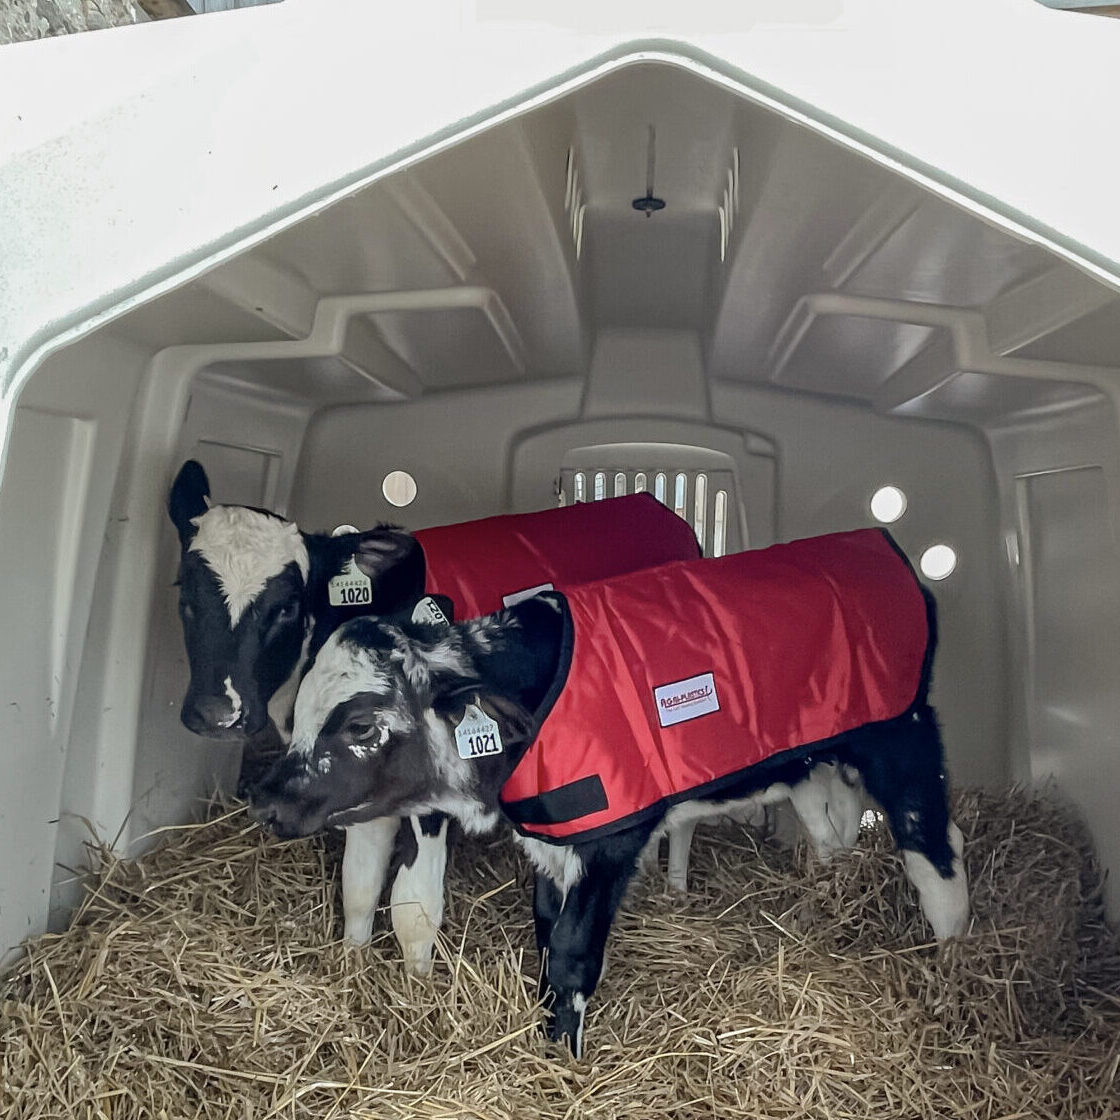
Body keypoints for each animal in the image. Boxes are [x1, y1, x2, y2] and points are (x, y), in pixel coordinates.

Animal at [249, 528, 969, 1056]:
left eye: (361, 725)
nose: (266, 798)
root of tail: (874, 543)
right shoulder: (553, 836)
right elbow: (545, 931)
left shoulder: (610, 838)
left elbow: (572, 951)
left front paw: (562, 1059)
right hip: (819, 753)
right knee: (833, 826)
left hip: (900, 734)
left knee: (936, 847)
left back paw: (949, 960)